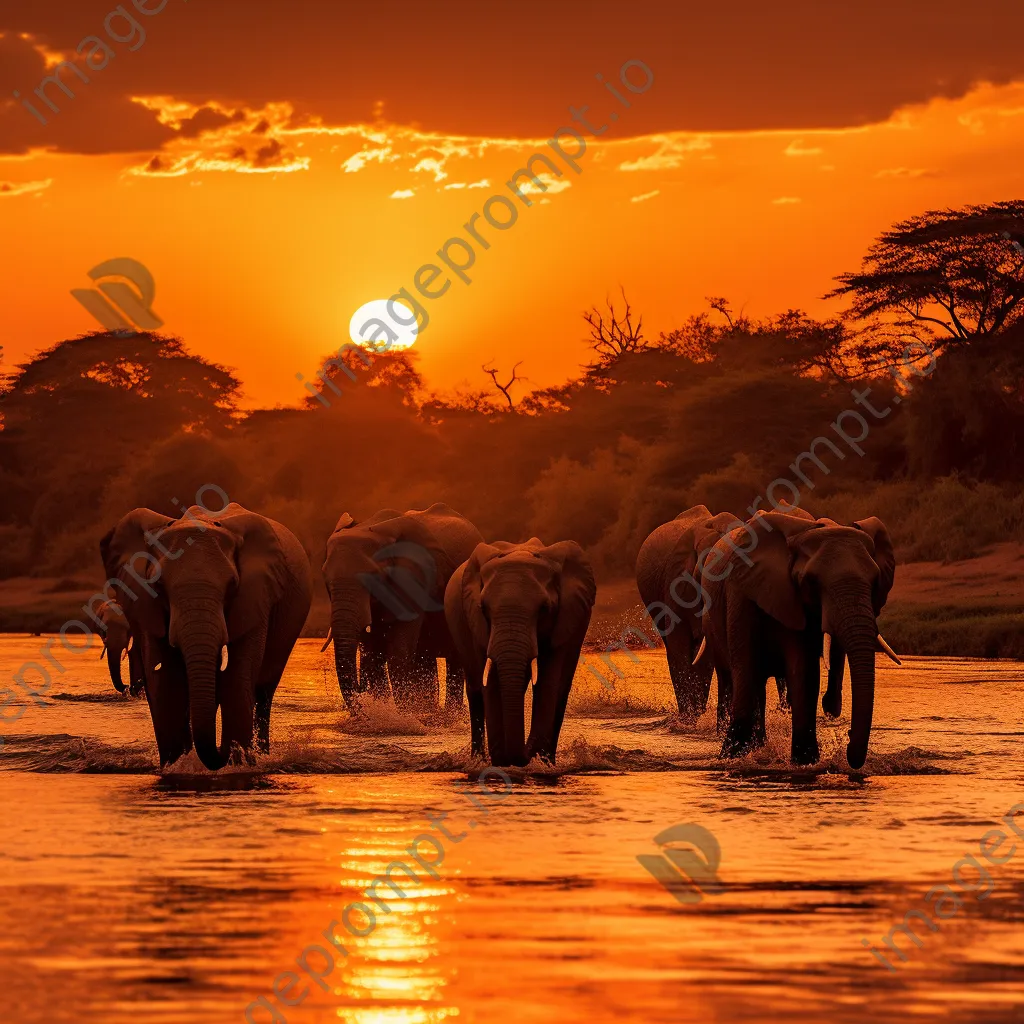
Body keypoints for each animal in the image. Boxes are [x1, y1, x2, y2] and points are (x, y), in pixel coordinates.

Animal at [103, 499, 313, 770]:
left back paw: (261, 756)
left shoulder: (256, 596)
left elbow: (237, 676)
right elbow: (165, 678)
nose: (224, 750)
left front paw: (238, 764)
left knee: (264, 693)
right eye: (158, 585)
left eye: (232, 584)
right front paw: (175, 766)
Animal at [321, 501, 481, 712]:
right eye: (325, 578)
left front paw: (405, 715)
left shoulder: (415, 582)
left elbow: (398, 654)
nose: (361, 690)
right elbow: (374, 654)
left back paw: (449, 715)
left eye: (373, 577)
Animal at [444, 540, 598, 765]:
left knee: (560, 690)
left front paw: (540, 762)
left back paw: (549, 761)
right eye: (483, 608)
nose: (520, 756)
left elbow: (548, 682)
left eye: (544, 608)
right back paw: (478, 760)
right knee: (475, 691)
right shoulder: (475, 624)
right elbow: (489, 680)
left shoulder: (566, 620)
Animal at [704, 509, 897, 770]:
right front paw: (731, 758)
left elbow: (803, 670)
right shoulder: (741, 593)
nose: (847, 742)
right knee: (740, 676)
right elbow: (746, 666)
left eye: (875, 581)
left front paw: (805, 762)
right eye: (811, 581)